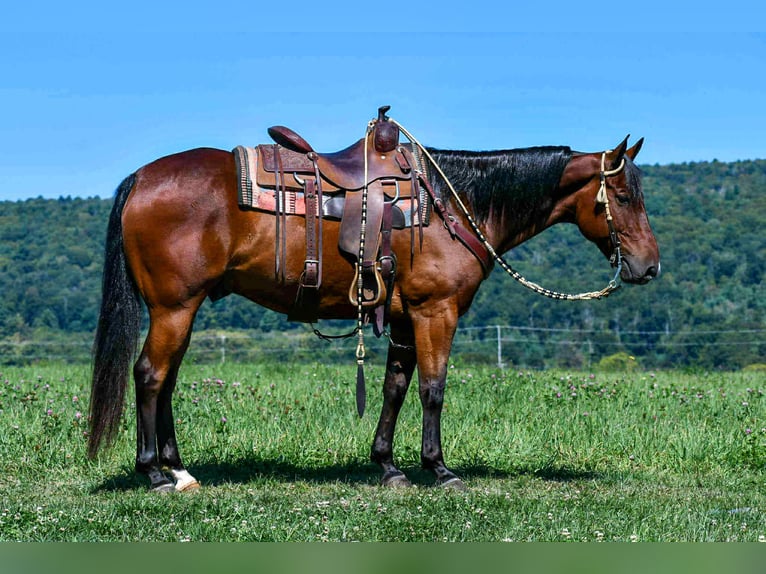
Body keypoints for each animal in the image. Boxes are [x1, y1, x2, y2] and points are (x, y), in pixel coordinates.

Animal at [87, 118, 660, 492]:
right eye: (624, 198)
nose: (649, 267)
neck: (454, 206)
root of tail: (142, 178)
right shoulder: (436, 312)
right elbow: (433, 390)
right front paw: (440, 469)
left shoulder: (406, 317)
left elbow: (395, 389)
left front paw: (387, 466)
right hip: (173, 307)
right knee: (150, 375)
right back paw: (155, 473)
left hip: (184, 310)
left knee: (165, 380)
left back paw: (180, 470)